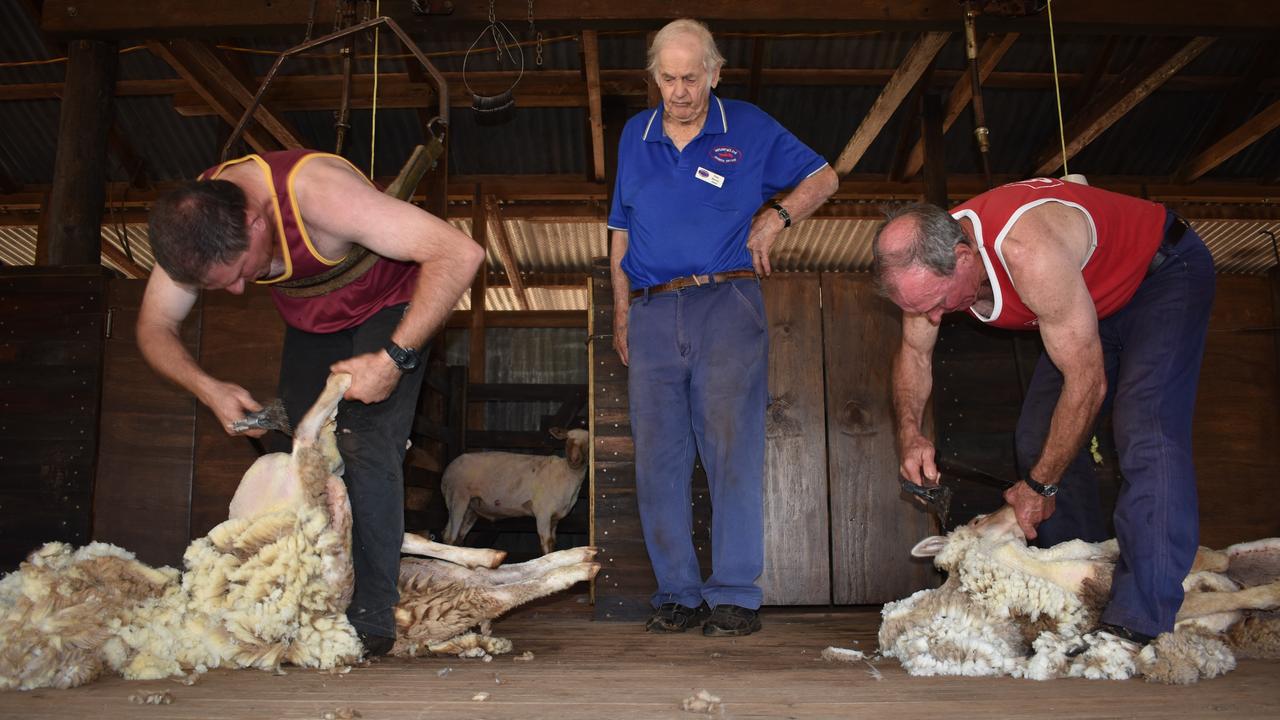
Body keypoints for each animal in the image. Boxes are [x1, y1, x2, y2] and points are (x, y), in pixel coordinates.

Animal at [442, 425, 591, 556]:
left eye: (588, 443)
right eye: (567, 440)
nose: (574, 460)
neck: (567, 473)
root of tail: (447, 472)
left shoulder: (555, 518)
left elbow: (553, 543)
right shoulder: (543, 512)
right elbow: (546, 544)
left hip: (471, 508)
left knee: (456, 538)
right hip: (457, 498)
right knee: (450, 537)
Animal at [880, 502, 1280, 681]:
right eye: (979, 519)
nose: (1013, 504)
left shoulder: (1109, 557)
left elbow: (1211, 561)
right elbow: (1225, 595)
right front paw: (1271, 594)